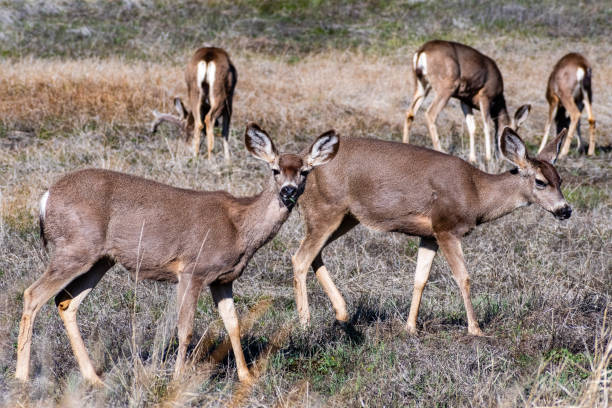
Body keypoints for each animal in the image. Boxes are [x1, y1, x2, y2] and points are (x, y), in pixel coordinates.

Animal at [14, 122, 340, 384]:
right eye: (275, 170)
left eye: (305, 172)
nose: (288, 191)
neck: (239, 226)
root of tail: (46, 197)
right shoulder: (191, 270)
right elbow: (185, 330)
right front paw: (178, 377)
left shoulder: (223, 279)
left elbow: (234, 325)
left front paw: (246, 377)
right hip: (74, 248)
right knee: (32, 294)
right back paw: (21, 377)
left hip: (99, 259)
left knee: (65, 302)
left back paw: (93, 378)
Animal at [292, 126, 568, 336]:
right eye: (540, 182)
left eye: (560, 180)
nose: (565, 210)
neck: (477, 194)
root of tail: (304, 160)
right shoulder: (446, 227)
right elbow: (463, 278)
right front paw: (476, 329)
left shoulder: (429, 234)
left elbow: (420, 279)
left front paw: (410, 327)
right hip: (326, 208)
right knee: (300, 258)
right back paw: (305, 324)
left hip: (346, 216)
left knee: (313, 255)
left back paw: (342, 313)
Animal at [402, 39, 532, 163]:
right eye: (513, 131)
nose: (505, 158)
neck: (498, 101)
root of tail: (421, 51)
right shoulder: (485, 95)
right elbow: (487, 126)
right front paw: (488, 158)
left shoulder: (464, 100)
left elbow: (471, 127)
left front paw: (472, 158)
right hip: (447, 86)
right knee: (430, 113)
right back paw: (440, 150)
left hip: (422, 84)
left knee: (410, 112)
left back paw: (406, 144)